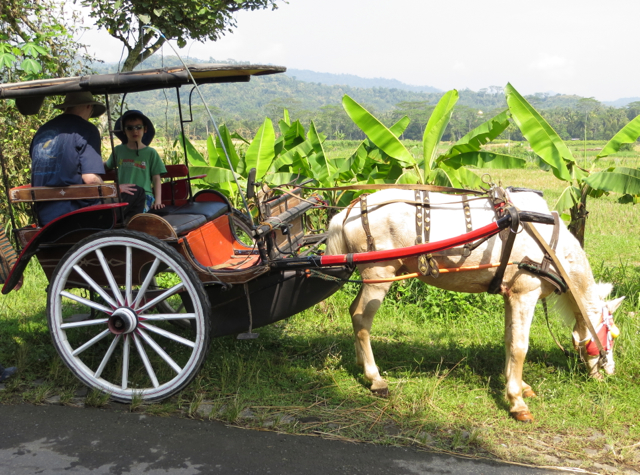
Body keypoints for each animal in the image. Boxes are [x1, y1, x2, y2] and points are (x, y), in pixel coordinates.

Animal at [328, 188, 624, 422]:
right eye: (612, 334)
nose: (609, 372)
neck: (550, 243)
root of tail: (348, 210)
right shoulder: (524, 293)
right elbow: (520, 347)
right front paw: (517, 402)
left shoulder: (510, 294)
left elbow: (509, 339)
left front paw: (519, 384)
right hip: (379, 275)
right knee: (361, 318)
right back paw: (374, 377)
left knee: (353, 312)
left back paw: (360, 362)